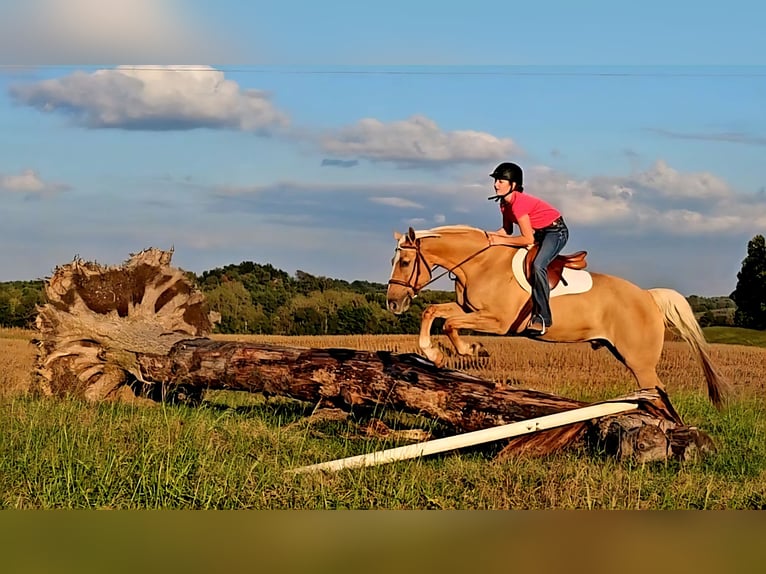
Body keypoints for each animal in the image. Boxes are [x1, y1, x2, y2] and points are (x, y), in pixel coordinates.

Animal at [386, 224, 728, 408]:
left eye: (404, 262)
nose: (393, 303)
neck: (481, 263)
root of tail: (647, 296)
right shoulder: (471, 310)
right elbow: (434, 312)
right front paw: (435, 354)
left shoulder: (497, 321)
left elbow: (451, 324)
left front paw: (472, 349)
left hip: (640, 362)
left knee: (656, 392)